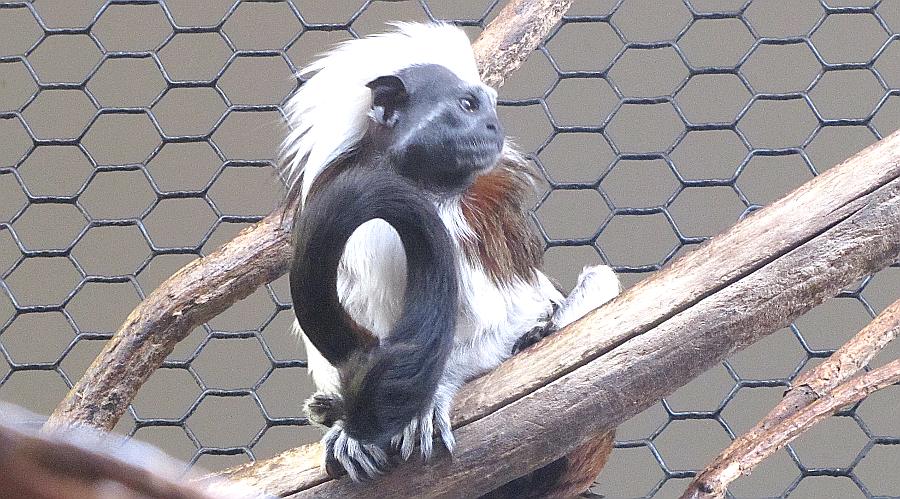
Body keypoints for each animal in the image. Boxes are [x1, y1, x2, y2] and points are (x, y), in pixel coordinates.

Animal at [280, 24, 620, 484]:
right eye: (467, 105)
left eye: (489, 108)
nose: (494, 126)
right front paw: (345, 428)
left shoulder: (470, 231)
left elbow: (512, 316)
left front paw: (434, 393)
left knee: (597, 282)